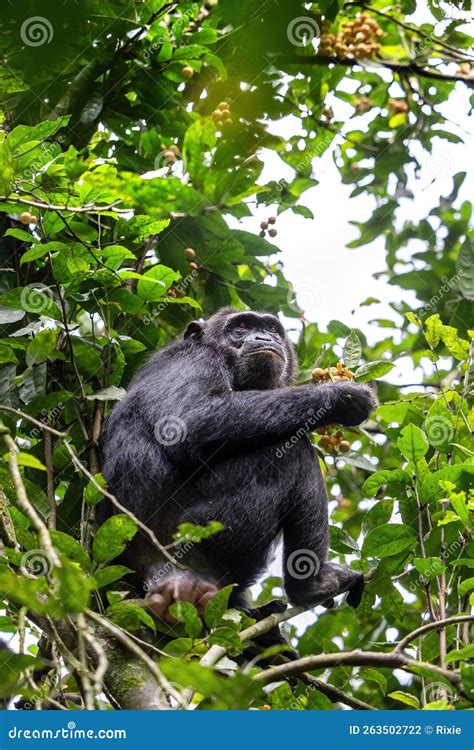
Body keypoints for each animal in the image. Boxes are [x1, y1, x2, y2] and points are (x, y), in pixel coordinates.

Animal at [102, 308, 376, 624]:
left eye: (271, 328)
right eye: (242, 326)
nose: (264, 337)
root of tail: (149, 569)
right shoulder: (193, 361)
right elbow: (188, 421)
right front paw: (342, 396)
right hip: (194, 530)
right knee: (292, 451)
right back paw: (312, 587)